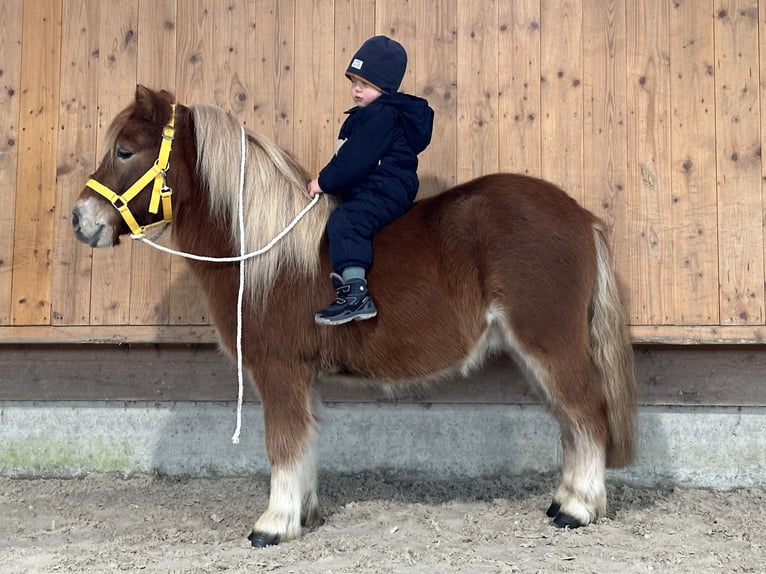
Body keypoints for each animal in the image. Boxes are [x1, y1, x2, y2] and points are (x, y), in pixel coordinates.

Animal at [72, 85, 640, 548]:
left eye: (125, 150)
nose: (80, 220)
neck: (265, 251)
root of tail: (581, 217)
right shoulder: (301, 377)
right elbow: (304, 443)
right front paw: (303, 514)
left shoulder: (279, 369)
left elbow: (282, 443)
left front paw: (273, 525)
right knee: (570, 421)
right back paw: (564, 499)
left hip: (549, 344)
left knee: (587, 412)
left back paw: (578, 509)